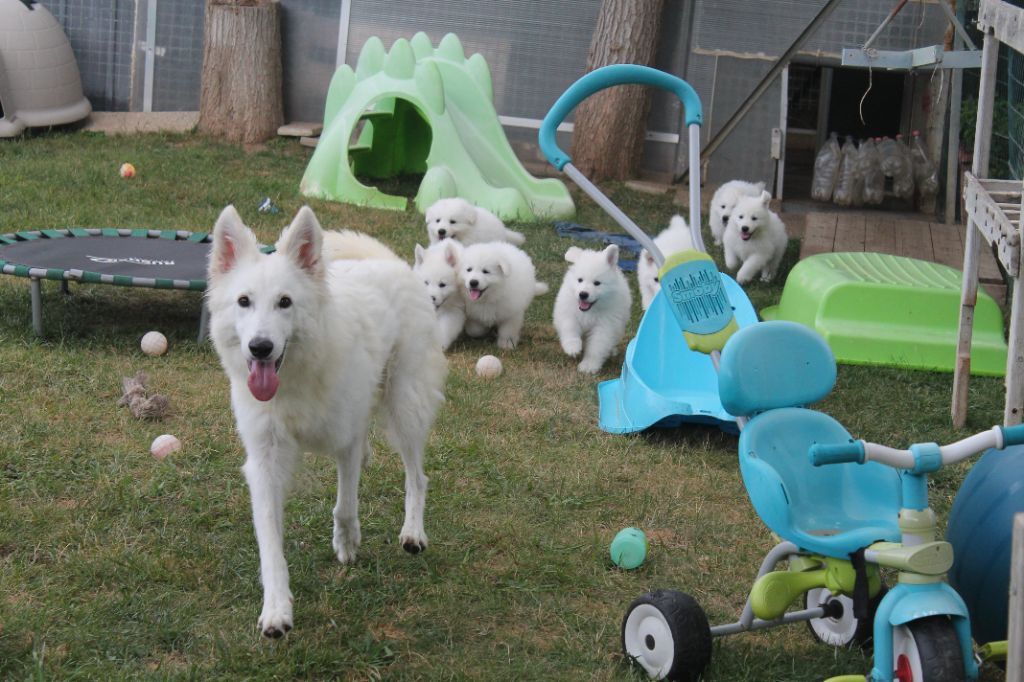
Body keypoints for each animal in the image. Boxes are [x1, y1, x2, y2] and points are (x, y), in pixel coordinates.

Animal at [205, 202, 446, 638]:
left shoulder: (344, 440)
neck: (296, 378)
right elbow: (270, 544)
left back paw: (413, 533)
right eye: (244, 301)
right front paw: (276, 609)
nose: (260, 347)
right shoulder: (265, 461)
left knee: (417, 477)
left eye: (285, 302)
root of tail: (391, 263)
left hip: (405, 408)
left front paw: (347, 543)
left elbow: (345, 504)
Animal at [557, 244, 626, 372]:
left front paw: (589, 365)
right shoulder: (568, 312)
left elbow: (596, 347)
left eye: (597, 283)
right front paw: (573, 347)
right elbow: (570, 328)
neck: (589, 311)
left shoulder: (605, 326)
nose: (583, 294)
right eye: (580, 280)